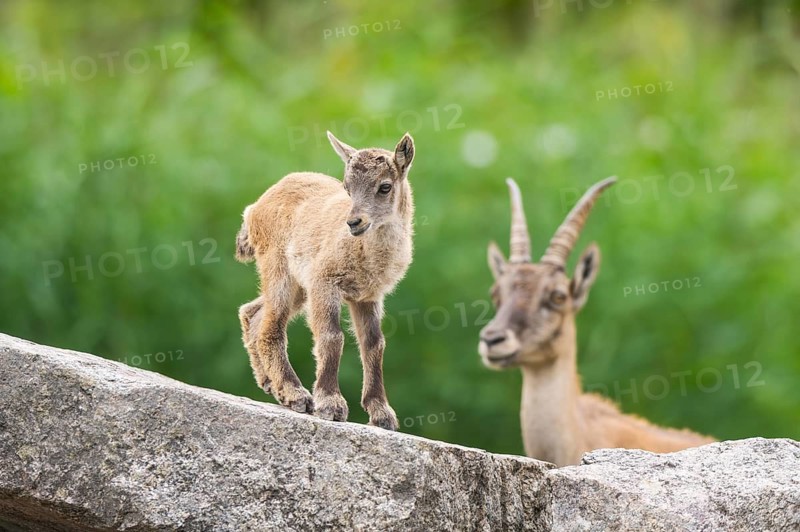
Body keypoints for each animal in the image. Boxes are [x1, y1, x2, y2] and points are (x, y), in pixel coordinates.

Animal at [235, 132, 415, 430]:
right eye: (347, 187)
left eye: (385, 186)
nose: (354, 222)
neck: (366, 253)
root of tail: (252, 210)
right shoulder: (324, 281)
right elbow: (332, 336)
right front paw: (330, 403)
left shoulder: (368, 296)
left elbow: (374, 344)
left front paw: (381, 413)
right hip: (278, 266)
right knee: (271, 325)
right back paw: (295, 393)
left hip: (299, 286)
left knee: (253, 313)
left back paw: (271, 385)